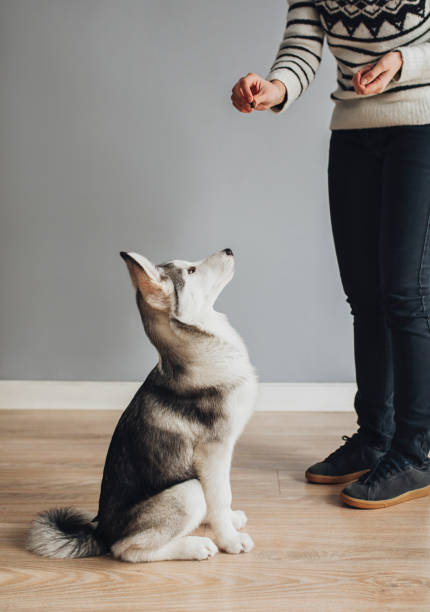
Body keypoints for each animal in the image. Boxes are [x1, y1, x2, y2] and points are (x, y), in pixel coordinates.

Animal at [27, 247, 258, 560]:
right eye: (191, 271)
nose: (229, 250)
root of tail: (101, 532)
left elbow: (222, 498)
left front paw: (230, 521)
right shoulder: (214, 451)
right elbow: (221, 496)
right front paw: (230, 540)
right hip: (188, 492)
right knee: (128, 550)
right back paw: (195, 546)